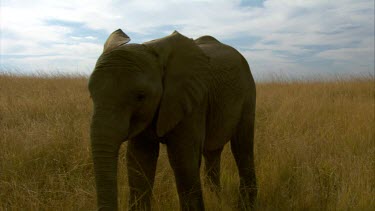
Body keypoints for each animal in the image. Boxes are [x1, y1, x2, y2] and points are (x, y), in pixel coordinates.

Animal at [89, 28, 258, 210]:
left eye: (141, 96)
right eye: (91, 94)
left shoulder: (193, 102)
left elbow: (184, 161)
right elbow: (139, 161)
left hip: (248, 93)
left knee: (242, 147)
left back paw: (246, 206)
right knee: (212, 151)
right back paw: (217, 199)